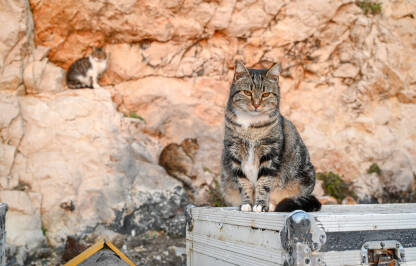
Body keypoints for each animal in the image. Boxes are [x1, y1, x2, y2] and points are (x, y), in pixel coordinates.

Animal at [221, 61, 322, 213]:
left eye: (266, 94)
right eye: (247, 92)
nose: (256, 104)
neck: (250, 126)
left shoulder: (270, 152)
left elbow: (264, 181)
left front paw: (260, 205)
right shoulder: (234, 153)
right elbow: (243, 181)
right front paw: (246, 204)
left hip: (304, 177)